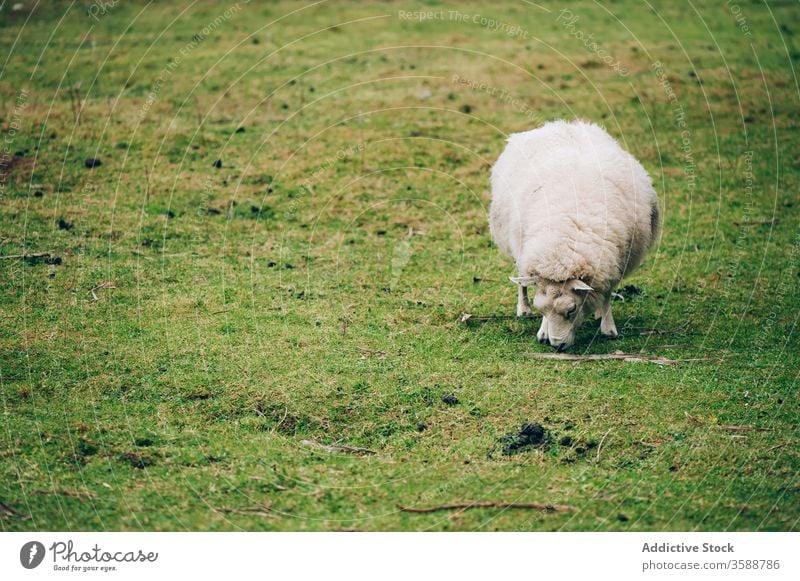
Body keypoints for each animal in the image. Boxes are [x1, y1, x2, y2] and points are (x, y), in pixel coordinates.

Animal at [490, 119, 660, 348]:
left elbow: (607, 294)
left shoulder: (613, 262)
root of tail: (560, 125)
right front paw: (543, 331)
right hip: (518, 246)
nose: (557, 345)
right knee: (521, 281)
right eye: (542, 310)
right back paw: (523, 308)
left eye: (571, 310)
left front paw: (608, 327)